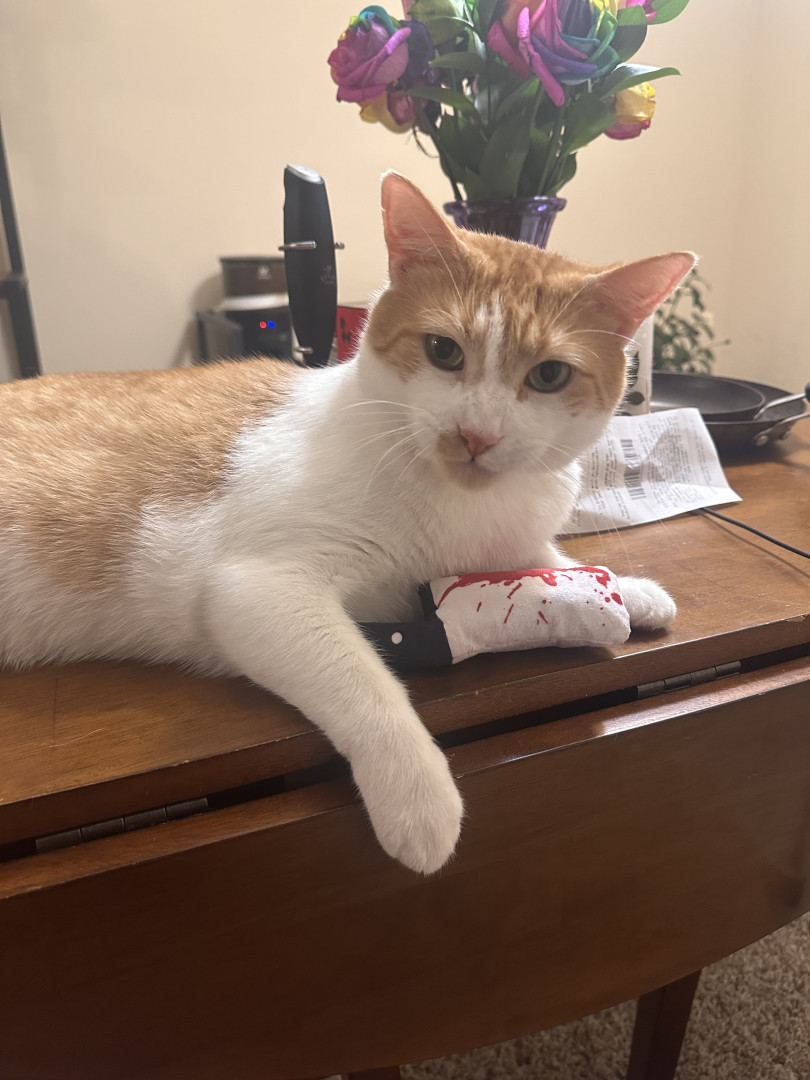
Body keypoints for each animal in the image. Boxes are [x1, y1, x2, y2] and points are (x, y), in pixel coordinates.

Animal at [0, 172, 694, 874]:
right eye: (443, 351)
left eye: (550, 374)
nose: (476, 435)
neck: (460, 506)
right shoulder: (257, 589)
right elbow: (363, 680)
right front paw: (419, 797)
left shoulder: (510, 539)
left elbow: (549, 559)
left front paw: (628, 589)